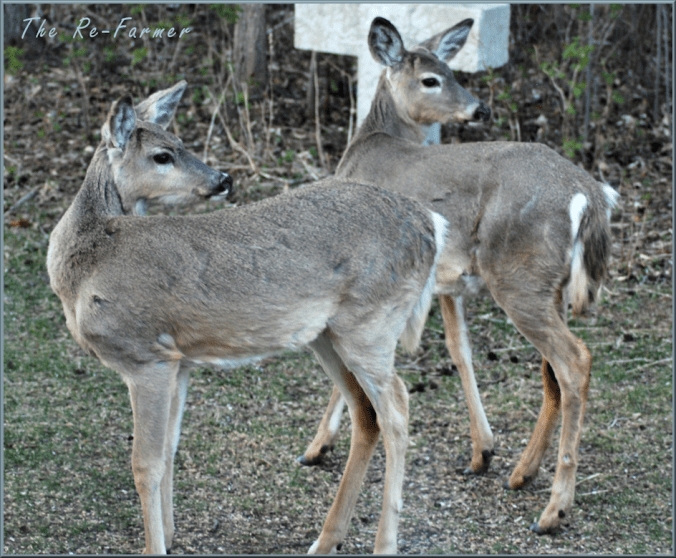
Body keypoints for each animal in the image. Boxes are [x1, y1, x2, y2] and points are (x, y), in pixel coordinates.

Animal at [46, 80, 449, 554]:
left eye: (178, 143)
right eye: (163, 154)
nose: (223, 179)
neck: (86, 267)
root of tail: (432, 224)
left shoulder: (146, 356)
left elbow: (145, 463)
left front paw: (153, 546)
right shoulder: (179, 361)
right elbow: (169, 450)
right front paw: (170, 534)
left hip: (372, 322)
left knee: (398, 409)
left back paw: (383, 543)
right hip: (328, 334)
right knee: (366, 414)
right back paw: (325, 539)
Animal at [299, 17, 619, 536]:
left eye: (451, 71)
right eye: (432, 78)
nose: (479, 107)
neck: (369, 147)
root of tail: (589, 193)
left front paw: (316, 446)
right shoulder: (447, 283)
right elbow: (460, 349)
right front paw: (481, 452)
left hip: (517, 278)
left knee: (575, 361)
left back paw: (554, 509)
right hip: (543, 285)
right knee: (553, 372)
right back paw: (521, 473)